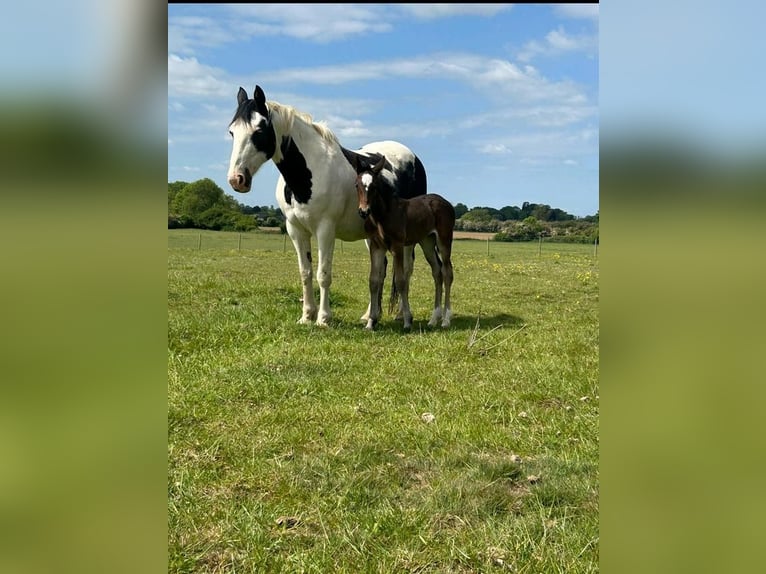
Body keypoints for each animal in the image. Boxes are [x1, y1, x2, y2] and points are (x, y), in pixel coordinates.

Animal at [227, 85, 427, 327]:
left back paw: (401, 314)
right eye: (232, 132)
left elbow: (323, 274)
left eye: (259, 130)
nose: (237, 179)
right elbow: (305, 272)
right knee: (381, 271)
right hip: (372, 237)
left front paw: (323, 318)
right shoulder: (296, 230)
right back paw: (370, 315)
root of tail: (413, 157)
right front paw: (306, 316)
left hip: (405, 238)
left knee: (405, 271)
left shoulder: (325, 230)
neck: (309, 171)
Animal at [352, 153, 455, 331]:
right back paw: (433, 319)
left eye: (374, 186)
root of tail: (446, 203)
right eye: (357, 184)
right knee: (437, 271)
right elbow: (373, 280)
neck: (383, 215)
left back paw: (446, 320)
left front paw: (407, 321)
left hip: (444, 240)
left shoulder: (397, 246)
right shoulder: (376, 247)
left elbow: (400, 280)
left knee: (447, 272)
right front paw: (371, 322)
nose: (364, 211)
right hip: (427, 242)